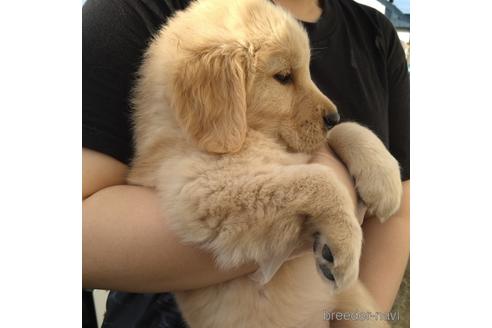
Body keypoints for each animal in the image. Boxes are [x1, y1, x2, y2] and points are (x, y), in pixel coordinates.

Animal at [128, 0, 404, 326]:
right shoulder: (200, 191)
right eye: (283, 77)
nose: (332, 116)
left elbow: (346, 132)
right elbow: (319, 178)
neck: (250, 135)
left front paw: (385, 180)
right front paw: (345, 245)